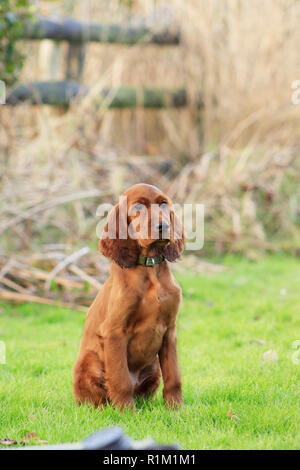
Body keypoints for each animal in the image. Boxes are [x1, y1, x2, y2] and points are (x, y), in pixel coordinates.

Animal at [74, 184, 184, 412]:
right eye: (138, 207)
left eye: (163, 204)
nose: (163, 225)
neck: (149, 268)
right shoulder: (114, 333)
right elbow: (120, 379)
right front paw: (126, 413)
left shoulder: (170, 331)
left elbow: (174, 377)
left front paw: (177, 410)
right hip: (88, 363)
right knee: (97, 398)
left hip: (153, 367)